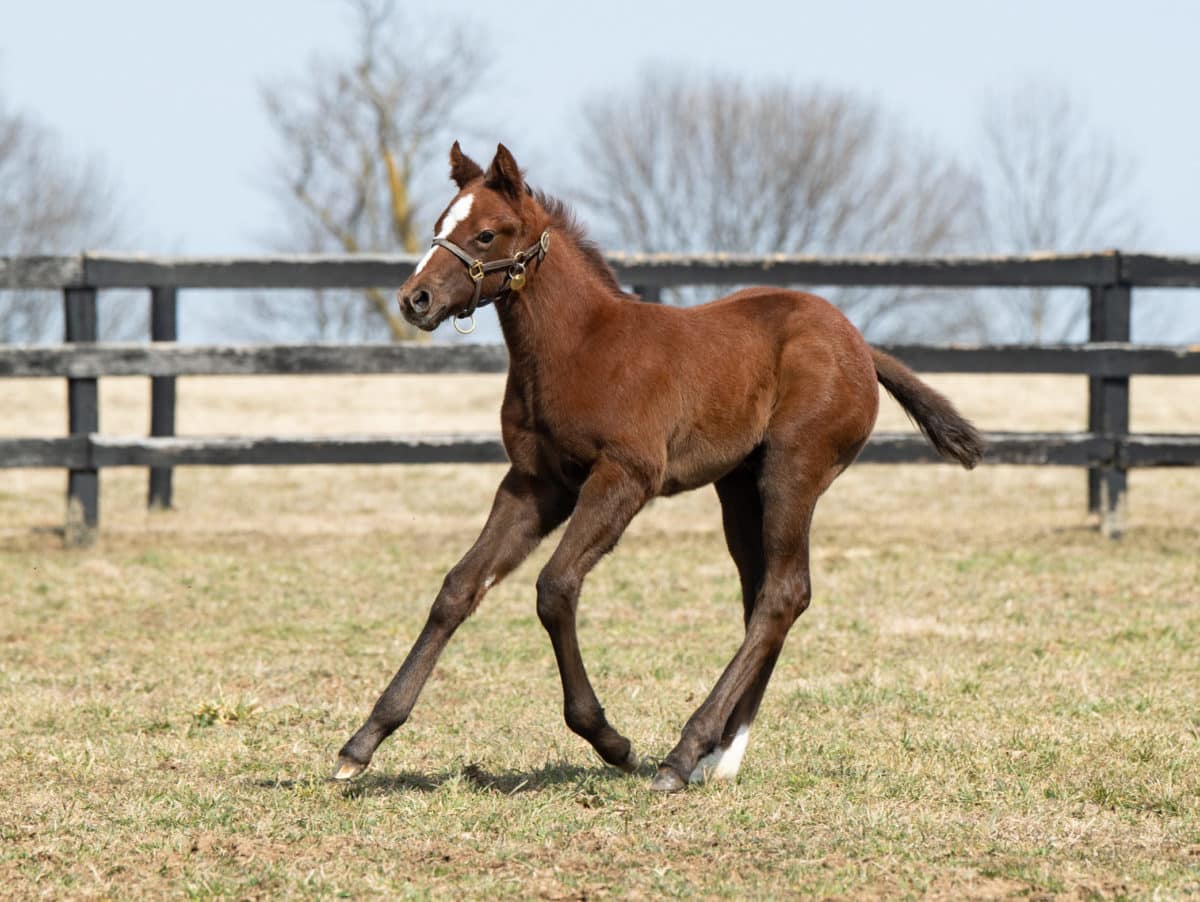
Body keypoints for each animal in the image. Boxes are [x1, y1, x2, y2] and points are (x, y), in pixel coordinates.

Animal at [333, 140, 979, 786]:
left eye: (487, 233)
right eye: (440, 226)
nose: (414, 300)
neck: (580, 348)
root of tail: (860, 345)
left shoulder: (625, 477)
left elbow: (555, 587)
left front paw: (610, 741)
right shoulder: (536, 483)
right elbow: (459, 587)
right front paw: (362, 742)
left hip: (794, 471)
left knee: (783, 594)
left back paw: (684, 753)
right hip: (738, 486)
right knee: (763, 593)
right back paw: (721, 755)